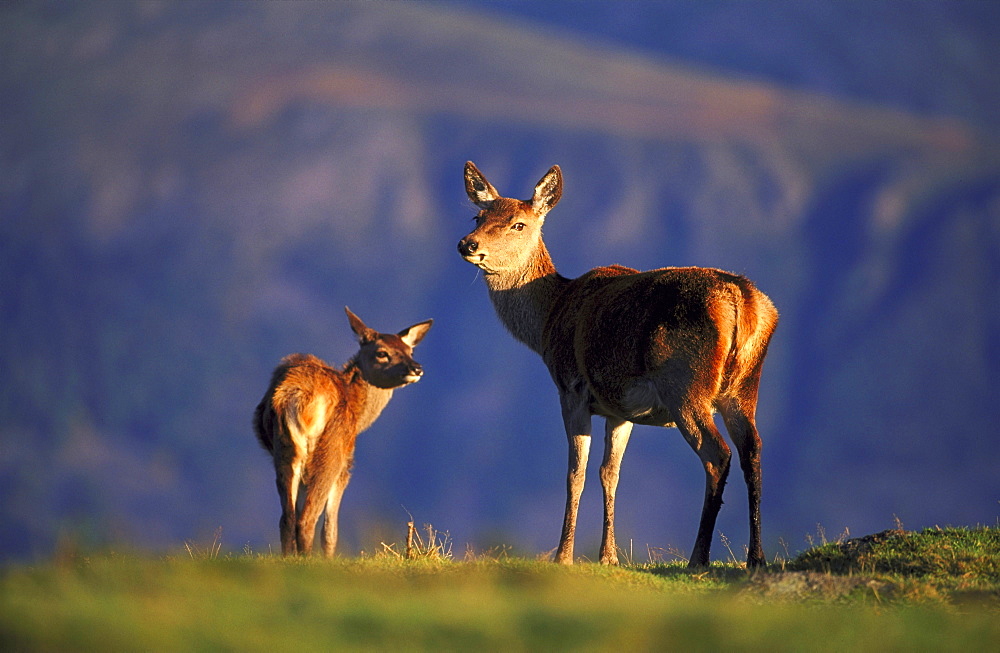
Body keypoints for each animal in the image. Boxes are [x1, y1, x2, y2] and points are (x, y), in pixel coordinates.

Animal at [252, 306, 432, 556]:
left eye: (410, 351)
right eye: (382, 353)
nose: (417, 368)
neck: (359, 413)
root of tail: (298, 395)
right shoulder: (346, 463)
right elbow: (330, 529)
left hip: (285, 449)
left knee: (287, 518)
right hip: (330, 452)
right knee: (306, 519)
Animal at [460, 162, 780, 564]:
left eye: (518, 224)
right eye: (478, 216)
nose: (468, 244)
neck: (548, 319)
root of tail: (744, 300)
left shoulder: (571, 389)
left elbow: (576, 473)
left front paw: (563, 556)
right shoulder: (620, 409)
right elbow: (609, 473)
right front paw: (608, 555)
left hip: (686, 384)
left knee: (717, 455)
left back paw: (699, 556)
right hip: (744, 385)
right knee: (752, 450)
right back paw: (756, 557)